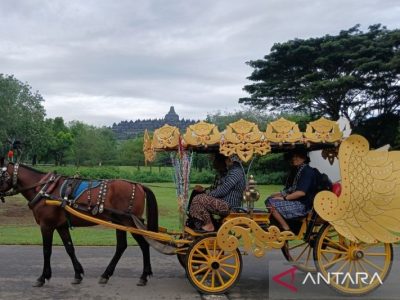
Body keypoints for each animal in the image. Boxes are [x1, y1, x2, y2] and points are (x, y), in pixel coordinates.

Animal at [0, 158, 159, 288]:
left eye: (0, 175)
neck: (44, 190)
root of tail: (139, 186)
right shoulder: (61, 226)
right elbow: (69, 248)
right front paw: (78, 274)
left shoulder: (47, 226)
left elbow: (46, 251)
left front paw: (42, 277)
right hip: (119, 221)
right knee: (121, 246)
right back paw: (106, 275)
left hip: (129, 222)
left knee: (144, 244)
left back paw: (143, 276)